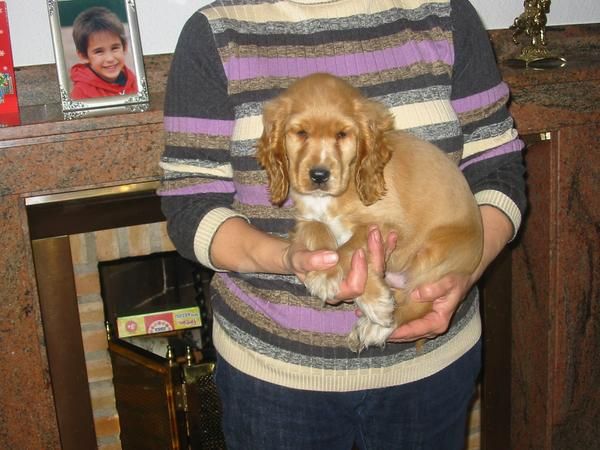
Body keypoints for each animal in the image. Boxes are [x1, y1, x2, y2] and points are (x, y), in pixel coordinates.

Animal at [255, 73, 480, 352]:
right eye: (301, 133)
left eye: (342, 134)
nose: (319, 175)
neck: (330, 198)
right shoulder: (307, 218)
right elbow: (322, 235)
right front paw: (373, 298)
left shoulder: (385, 225)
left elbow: (349, 249)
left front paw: (330, 277)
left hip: (434, 258)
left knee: (418, 301)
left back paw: (377, 327)